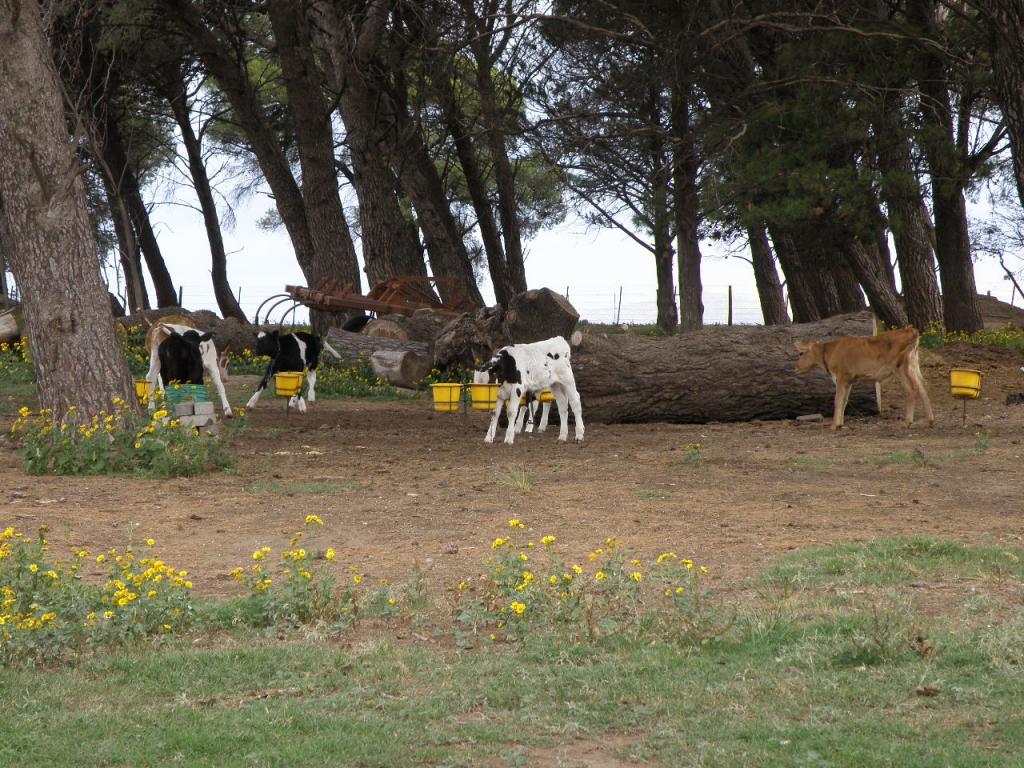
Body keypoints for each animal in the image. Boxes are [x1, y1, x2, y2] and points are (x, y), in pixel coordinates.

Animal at [790, 325, 937, 430]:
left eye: (801, 353)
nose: (794, 367)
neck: (829, 353)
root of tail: (911, 330)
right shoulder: (849, 380)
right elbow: (845, 400)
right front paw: (840, 424)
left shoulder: (841, 376)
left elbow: (837, 400)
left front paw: (833, 425)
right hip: (913, 364)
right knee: (923, 387)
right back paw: (929, 421)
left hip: (899, 366)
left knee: (911, 389)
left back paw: (907, 422)